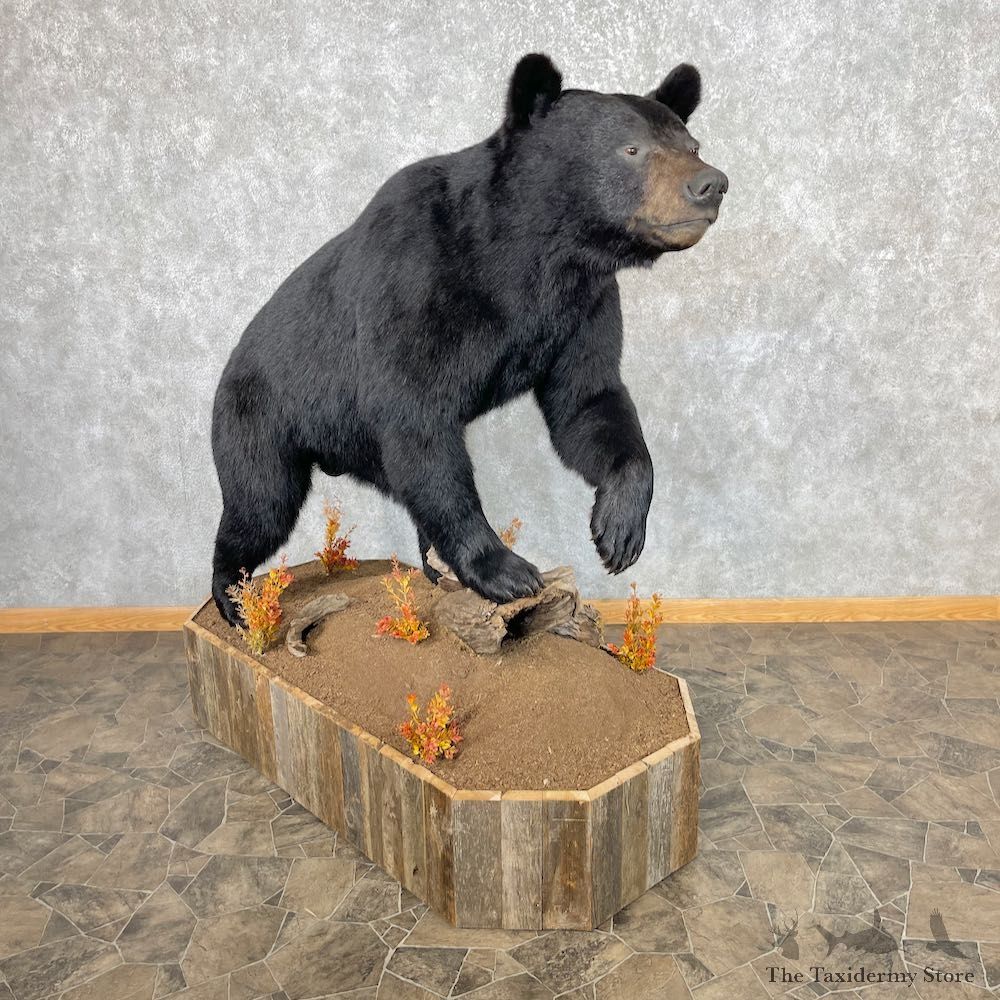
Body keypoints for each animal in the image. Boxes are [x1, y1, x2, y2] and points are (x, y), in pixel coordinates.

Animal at [210, 53, 727, 626]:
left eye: (692, 145)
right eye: (631, 149)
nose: (711, 183)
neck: (537, 253)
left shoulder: (582, 305)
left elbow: (588, 401)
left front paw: (618, 530)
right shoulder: (416, 281)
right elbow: (418, 420)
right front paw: (506, 570)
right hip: (260, 417)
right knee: (260, 504)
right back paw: (234, 597)